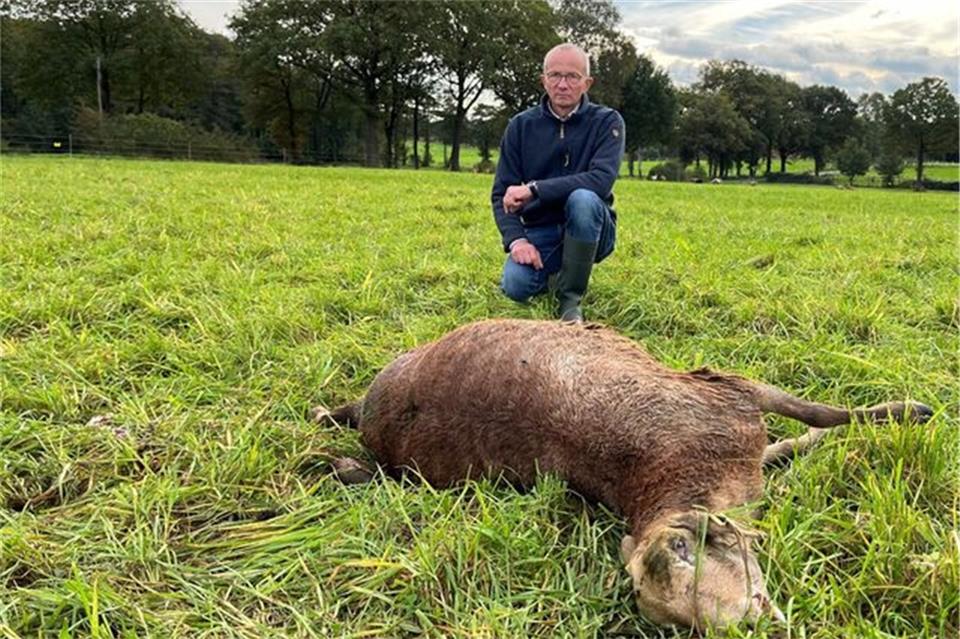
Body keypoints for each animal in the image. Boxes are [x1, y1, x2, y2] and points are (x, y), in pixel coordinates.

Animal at [313, 319, 932, 630]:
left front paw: (913, 410)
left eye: (684, 549)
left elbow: (822, 417)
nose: (752, 624)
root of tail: (369, 412)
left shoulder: (730, 390)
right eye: (674, 623)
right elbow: (806, 433)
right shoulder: (734, 416)